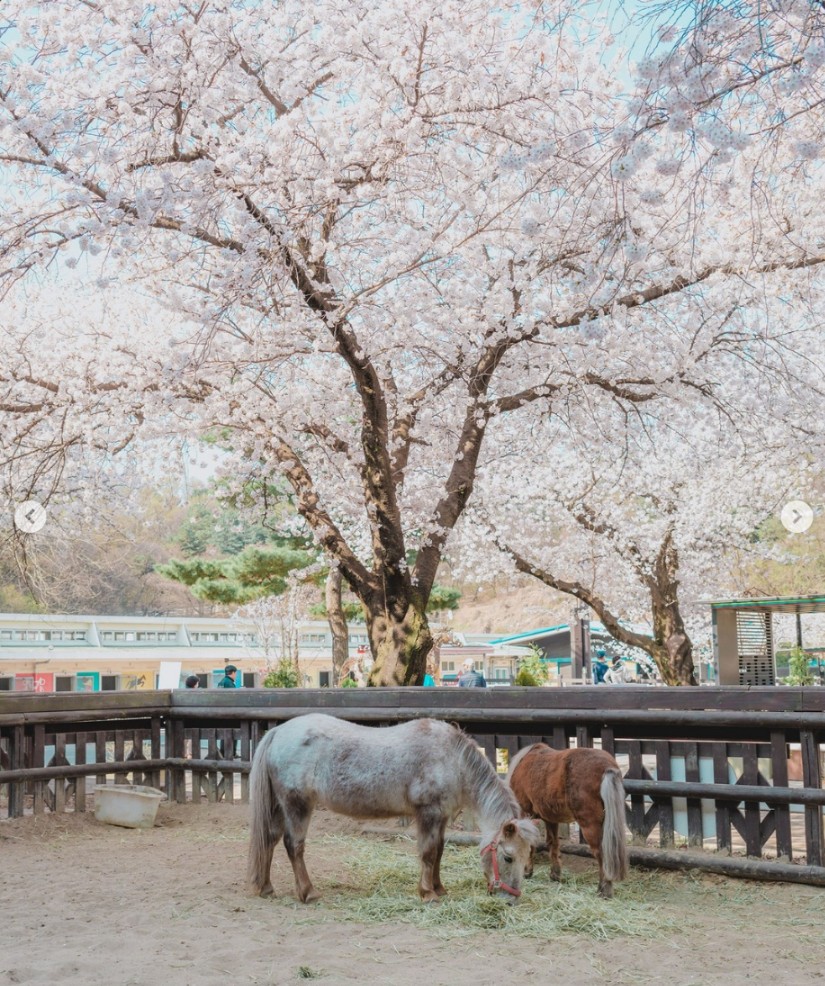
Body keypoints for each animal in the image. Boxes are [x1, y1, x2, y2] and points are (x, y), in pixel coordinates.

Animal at [246, 712, 540, 904]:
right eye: (508, 857)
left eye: (527, 856)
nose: (510, 900)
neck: (452, 759)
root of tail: (277, 732)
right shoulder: (428, 813)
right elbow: (428, 853)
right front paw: (428, 893)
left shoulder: (442, 816)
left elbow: (439, 852)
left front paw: (439, 888)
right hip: (297, 806)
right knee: (293, 846)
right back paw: (308, 892)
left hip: (278, 807)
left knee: (269, 840)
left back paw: (266, 887)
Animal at [506, 740, 628, 896]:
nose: (507, 859)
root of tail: (607, 766)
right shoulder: (550, 819)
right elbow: (553, 843)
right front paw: (555, 874)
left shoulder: (525, 814)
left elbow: (530, 844)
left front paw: (527, 871)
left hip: (589, 824)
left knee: (601, 853)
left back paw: (604, 889)